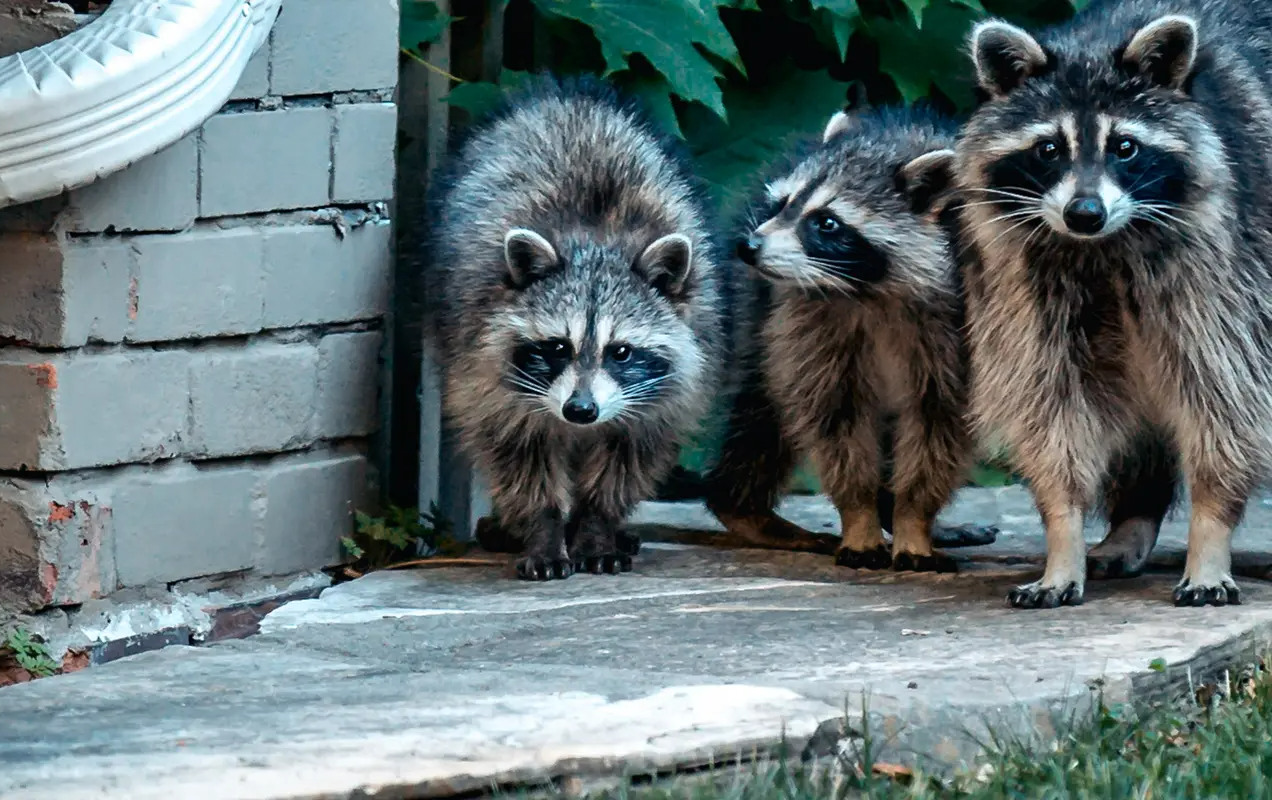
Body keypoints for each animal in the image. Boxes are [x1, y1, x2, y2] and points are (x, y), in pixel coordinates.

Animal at [424, 75, 731, 580]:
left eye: (621, 351)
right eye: (557, 347)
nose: (581, 410)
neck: (597, 239)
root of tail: (570, 94)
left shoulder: (670, 388)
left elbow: (627, 460)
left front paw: (597, 527)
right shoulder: (483, 364)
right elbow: (516, 452)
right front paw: (545, 530)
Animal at [704, 106, 975, 573]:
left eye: (826, 223)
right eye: (783, 203)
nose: (748, 246)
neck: (871, 291)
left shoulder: (962, 330)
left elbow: (937, 425)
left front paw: (913, 518)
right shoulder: (809, 319)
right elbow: (837, 418)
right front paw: (861, 514)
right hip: (756, 311)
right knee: (762, 410)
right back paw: (741, 505)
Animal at [954, 0, 1272, 607]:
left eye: (1125, 146)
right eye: (1049, 149)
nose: (1084, 213)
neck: (1104, 246)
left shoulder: (1233, 260)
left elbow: (1229, 398)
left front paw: (1210, 533)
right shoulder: (1027, 279)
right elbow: (1051, 403)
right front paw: (1064, 536)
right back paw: (1132, 523)